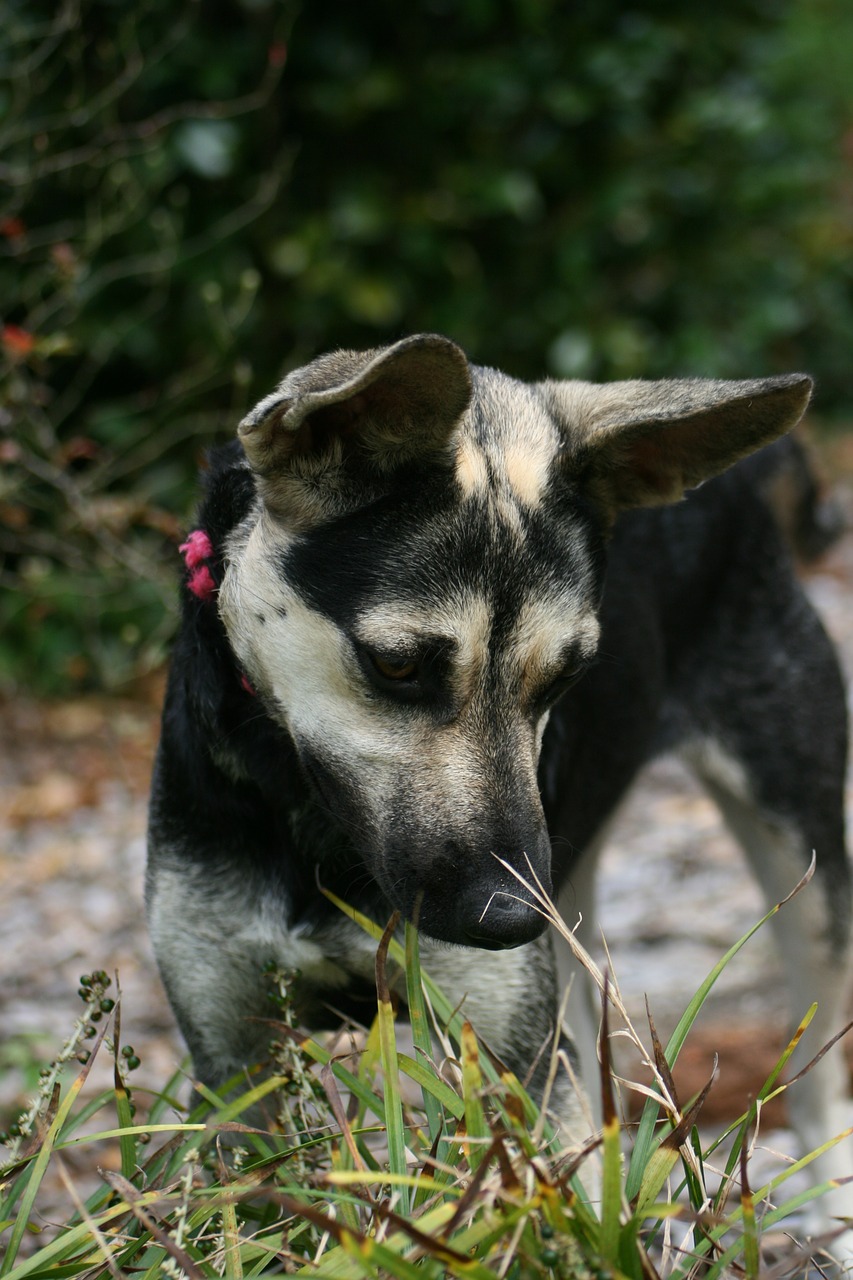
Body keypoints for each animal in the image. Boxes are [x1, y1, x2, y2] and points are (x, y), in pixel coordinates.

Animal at [147, 335, 850, 1244]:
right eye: (396, 665)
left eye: (566, 677)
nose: (509, 918)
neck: (316, 836)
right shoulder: (234, 1062)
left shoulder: (516, 1059)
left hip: (799, 858)